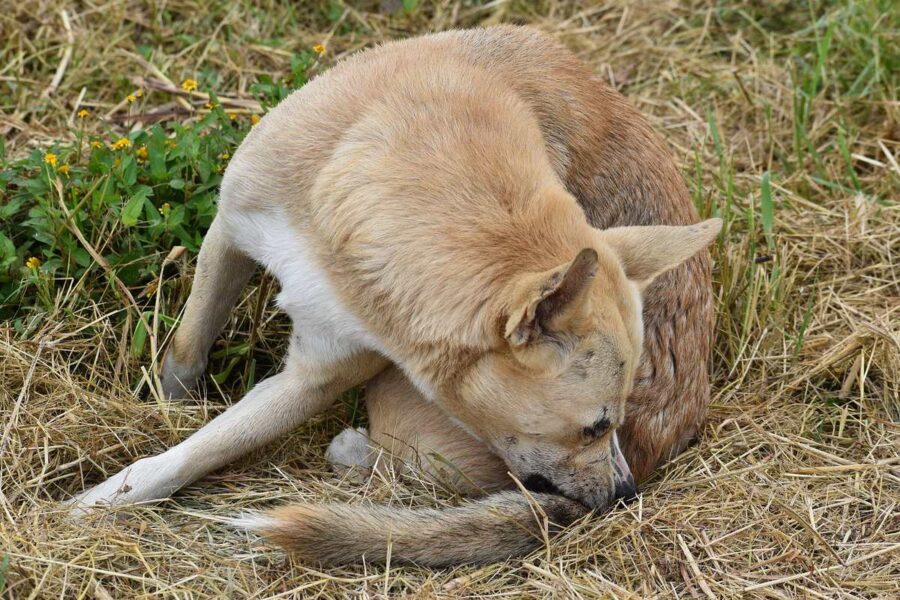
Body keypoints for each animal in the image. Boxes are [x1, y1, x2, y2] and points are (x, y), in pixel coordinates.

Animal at [68, 24, 716, 568]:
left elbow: (203, 449)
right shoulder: (230, 232)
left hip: (399, 408)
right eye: (594, 427)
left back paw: (355, 451)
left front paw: (103, 499)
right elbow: (187, 350)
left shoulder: (315, 378)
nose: (626, 497)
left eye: (612, 423)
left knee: (405, 469)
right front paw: (165, 409)